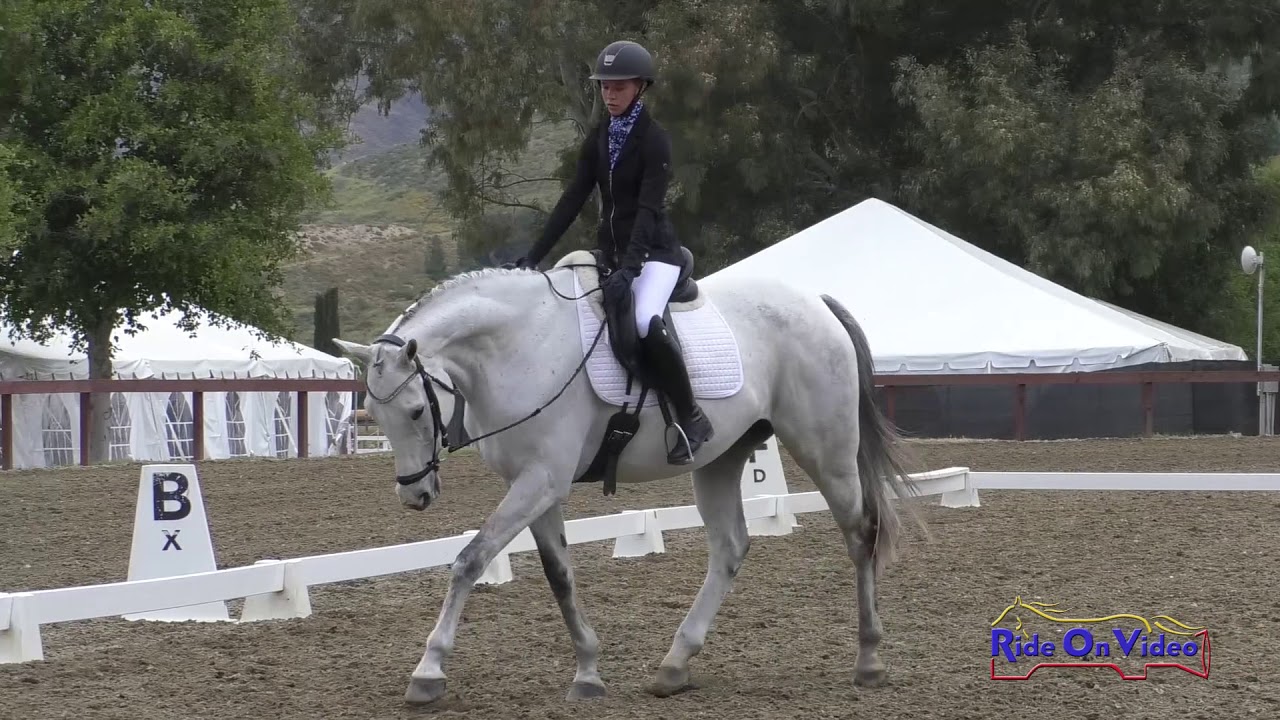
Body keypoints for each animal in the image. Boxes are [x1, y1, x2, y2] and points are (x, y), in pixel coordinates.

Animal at [331, 248, 928, 705]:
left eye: (415, 411)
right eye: (373, 413)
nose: (415, 496)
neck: (519, 346)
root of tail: (817, 304)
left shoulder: (541, 480)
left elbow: (469, 560)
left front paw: (428, 671)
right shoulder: (536, 486)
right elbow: (560, 576)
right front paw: (588, 672)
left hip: (826, 450)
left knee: (860, 534)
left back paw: (869, 658)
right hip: (721, 459)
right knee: (730, 547)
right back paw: (674, 665)